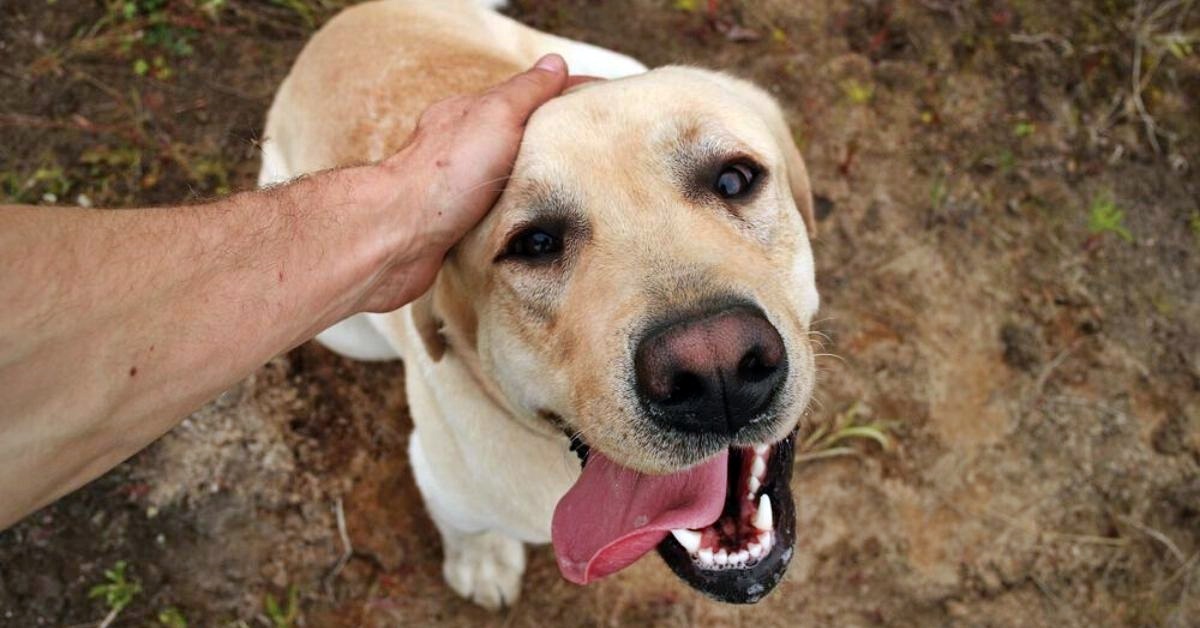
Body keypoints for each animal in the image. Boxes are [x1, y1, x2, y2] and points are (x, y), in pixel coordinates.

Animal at [261, 0, 820, 609]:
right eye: (535, 243)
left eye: (734, 179)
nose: (716, 366)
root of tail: (343, 22)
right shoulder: (436, 475)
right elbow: (465, 526)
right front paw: (481, 561)